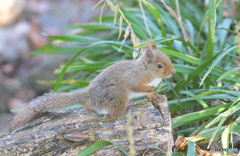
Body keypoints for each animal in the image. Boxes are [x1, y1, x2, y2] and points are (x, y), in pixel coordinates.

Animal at [10, 41, 175, 132]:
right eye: (160, 65)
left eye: (169, 57)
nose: (173, 72)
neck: (147, 72)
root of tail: (87, 97)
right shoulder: (132, 79)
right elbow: (137, 88)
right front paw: (151, 89)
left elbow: (150, 96)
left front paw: (156, 96)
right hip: (117, 95)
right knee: (112, 116)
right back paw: (124, 114)